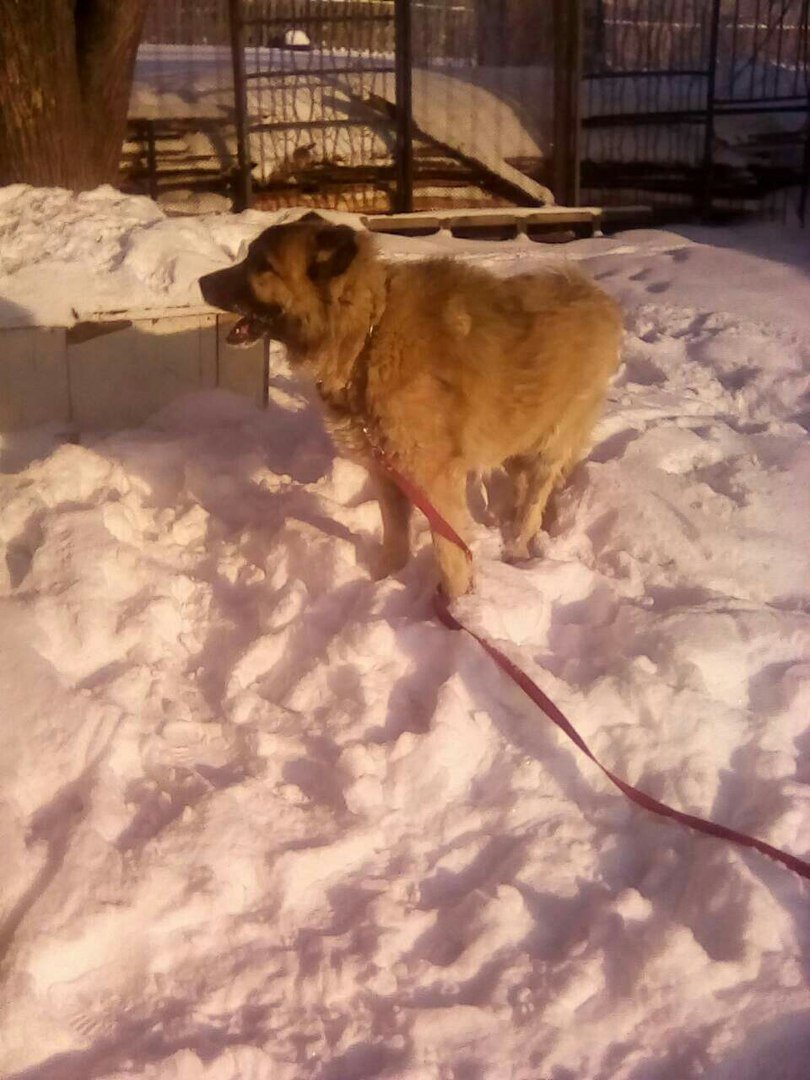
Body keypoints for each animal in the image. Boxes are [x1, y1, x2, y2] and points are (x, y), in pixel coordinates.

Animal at [199, 210, 626, 600]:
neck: (368, 337)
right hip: (517, 432)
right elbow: (395, 538)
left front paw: (458, 607)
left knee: (535, 499)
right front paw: (382, 585)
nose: (201, 281)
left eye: (263, 265)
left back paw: (518, 547)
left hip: (547, 444)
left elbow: (450, 556)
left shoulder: (435, 481)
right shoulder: (388, 474)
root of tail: (596, 297)